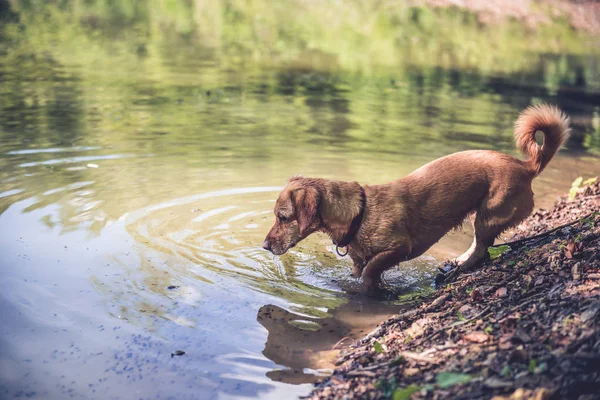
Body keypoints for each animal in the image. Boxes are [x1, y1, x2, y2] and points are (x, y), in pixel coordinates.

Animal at [262, 104, 572, 290]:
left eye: (284, 218)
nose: (264, 246)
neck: (359, 213)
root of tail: (527, 166)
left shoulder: (400, 248)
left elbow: (373, 270)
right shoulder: (357, 263)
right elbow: (360, 273)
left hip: (490, 213)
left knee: (482, 251)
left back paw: (458, 270)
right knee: (478, 246)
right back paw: (456, 262)